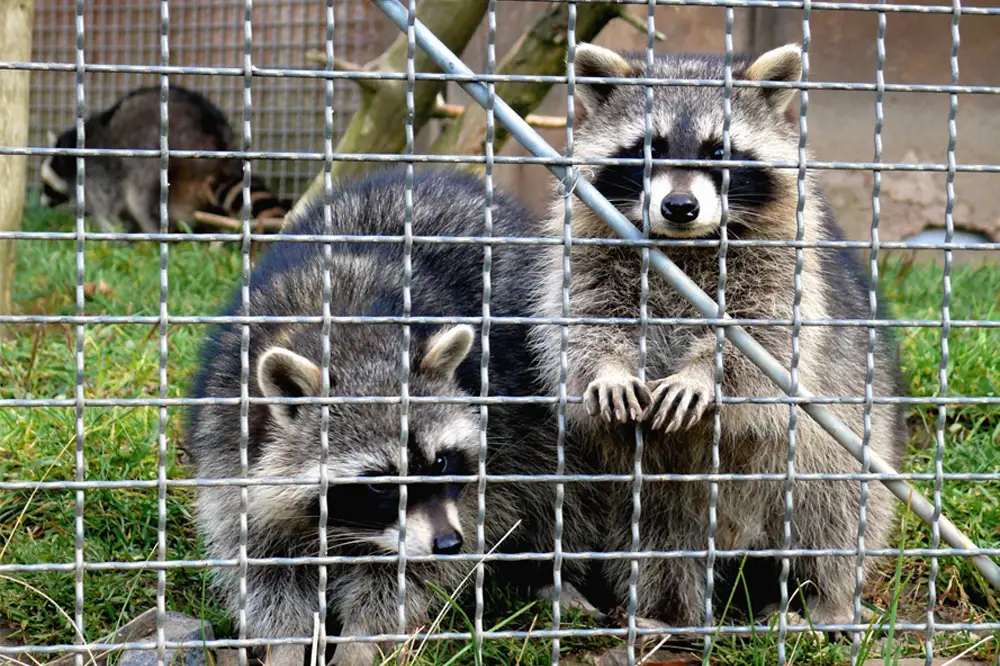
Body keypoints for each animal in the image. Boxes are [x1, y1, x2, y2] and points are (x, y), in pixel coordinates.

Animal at [39, 85, 290, 233]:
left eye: (47, 185)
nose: (40, 202)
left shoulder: (98, 172)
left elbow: (105, 207)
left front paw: (107, 227)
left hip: (153, 152)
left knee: (138, 196)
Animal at [188, 167, 600, 664]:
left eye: (441, 462)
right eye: (380, 483)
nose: (448, 544)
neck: (351, 338)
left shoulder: (488, 456)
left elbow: (406, 576)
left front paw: (360, 642)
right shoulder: (230, 435)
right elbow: (265, 566)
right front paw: (285, 644)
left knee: (566, 490)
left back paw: (551, 574)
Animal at [528, 45, 912, 628]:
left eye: (719, 150)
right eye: (651, 147)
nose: (680, 207)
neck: (685, 245)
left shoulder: (784, 267)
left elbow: (764, 339)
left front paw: (703, 372)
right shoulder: (587, 251)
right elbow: (584, 321)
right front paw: (610, 367)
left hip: (838, 445)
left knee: (835, 512)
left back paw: (828, 598)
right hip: (658, 490)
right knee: (661, 536)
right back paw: (668, 614)